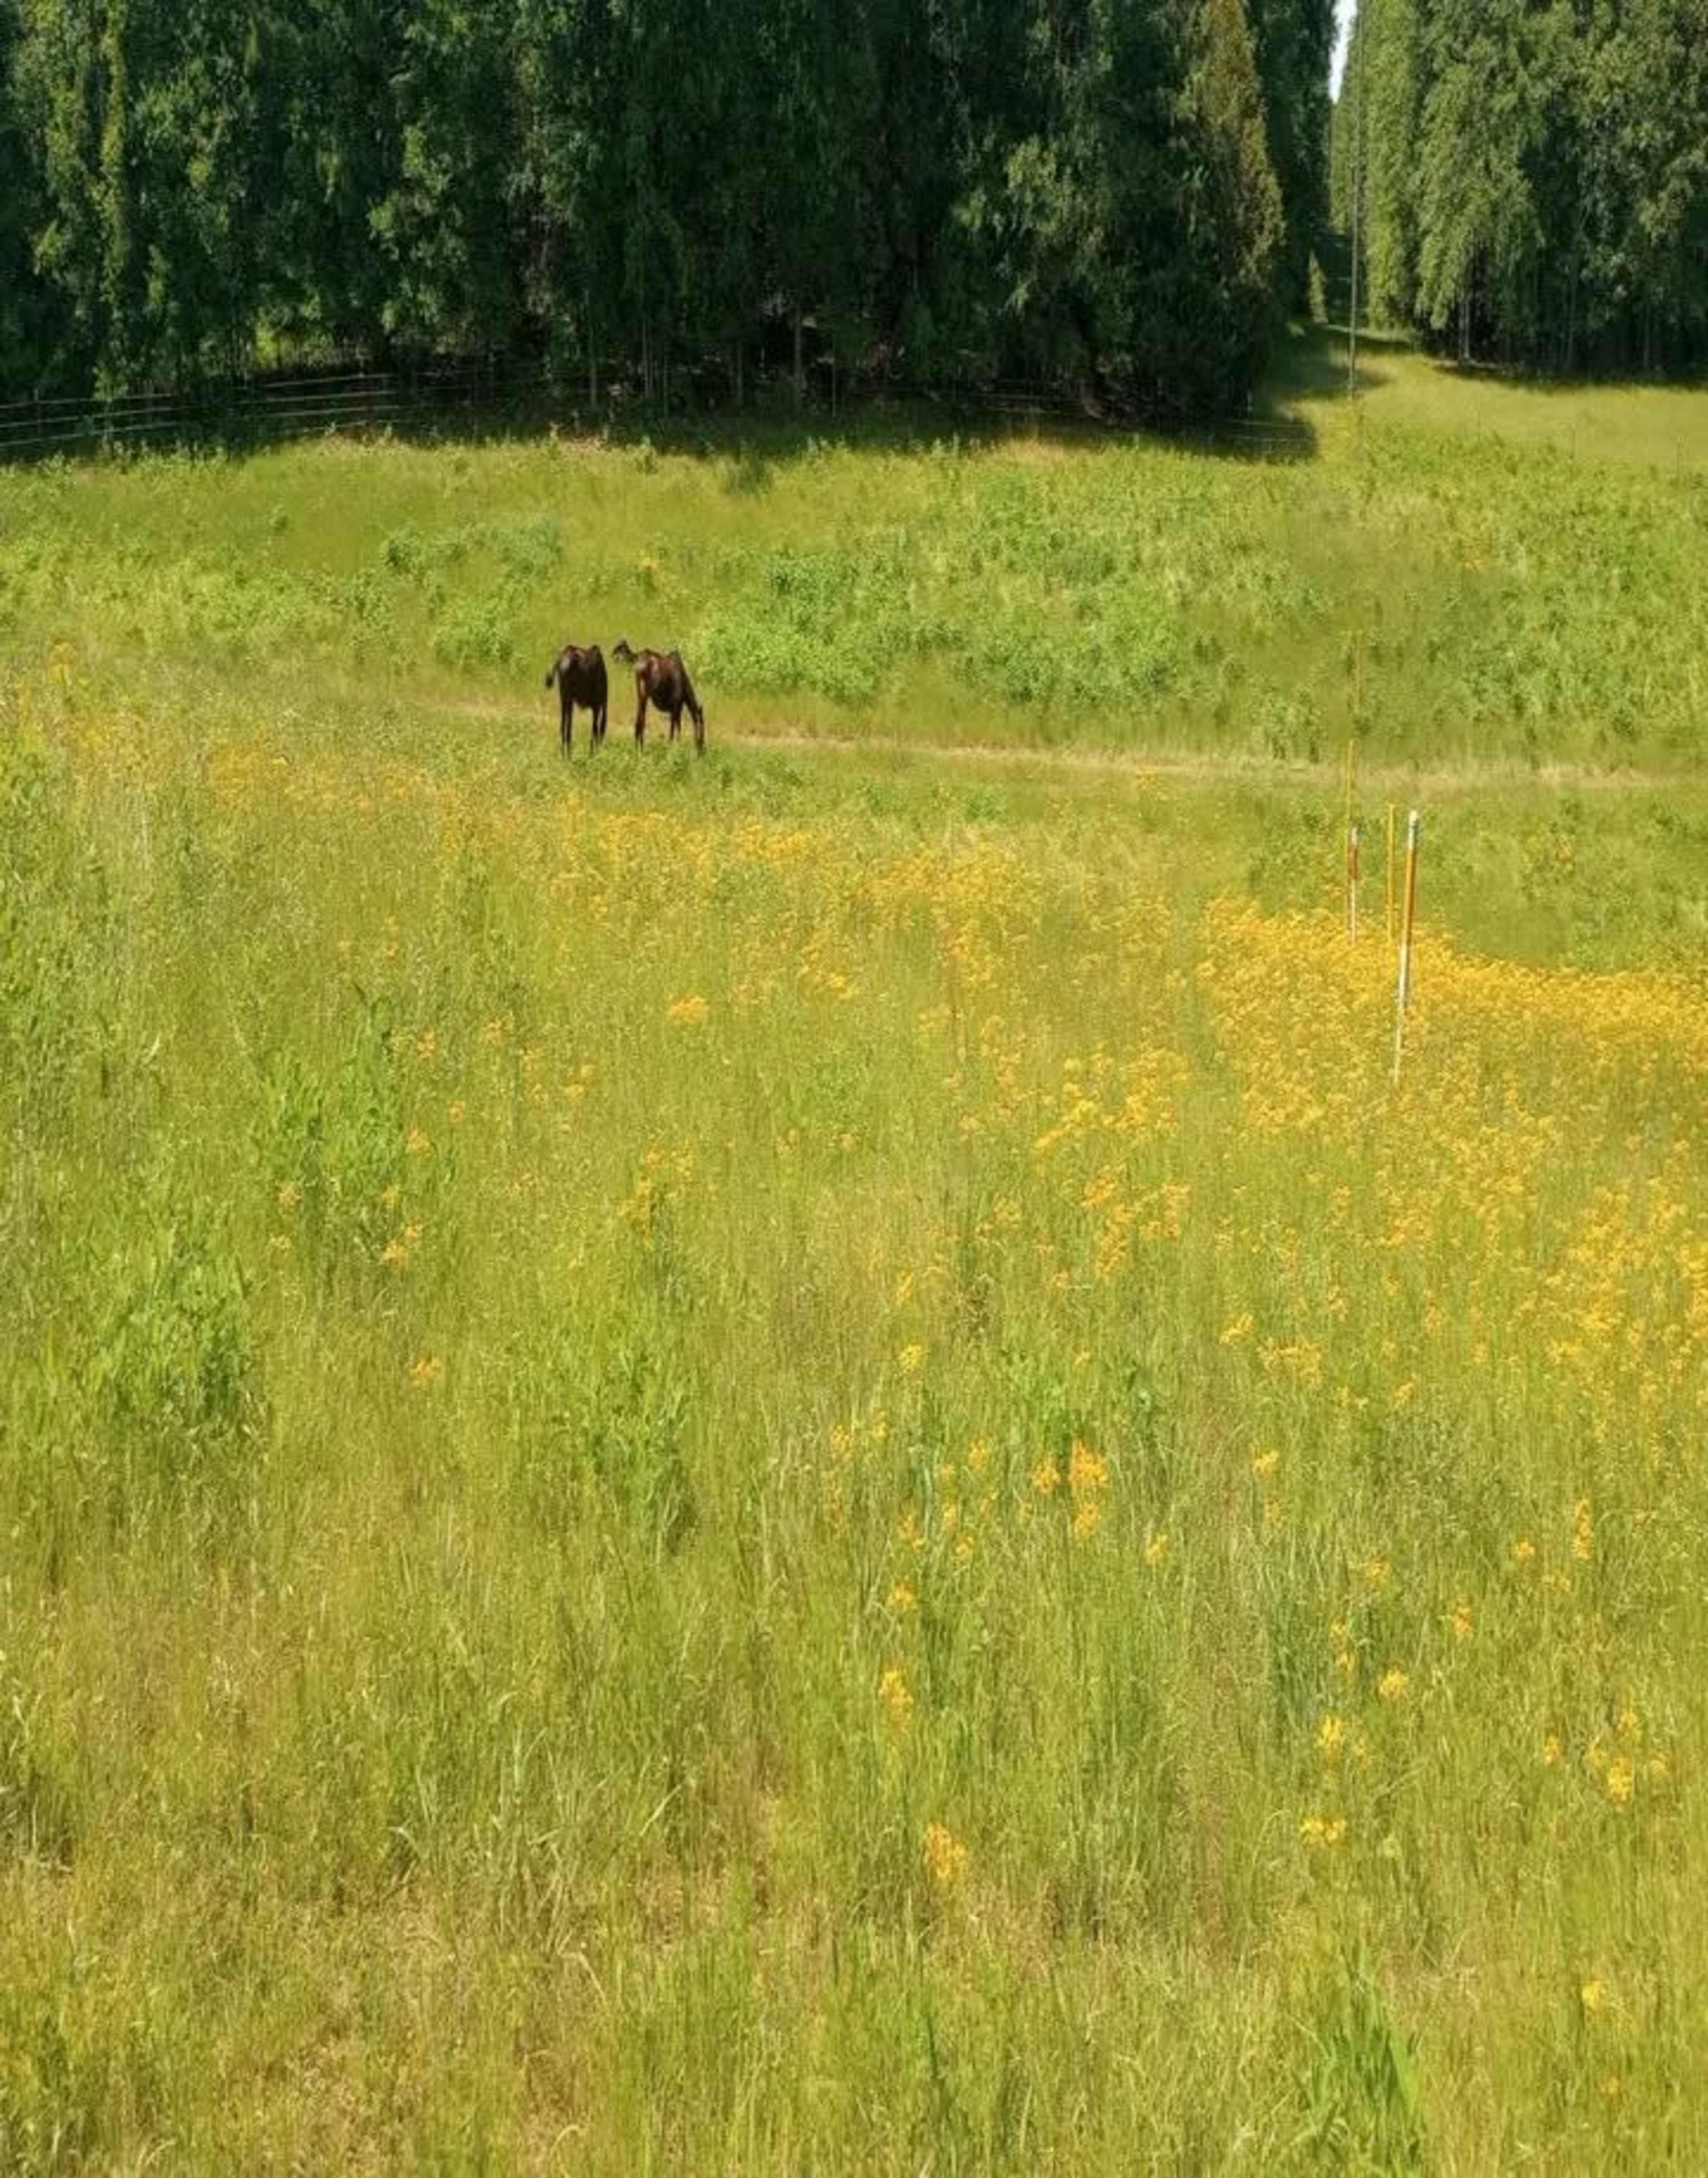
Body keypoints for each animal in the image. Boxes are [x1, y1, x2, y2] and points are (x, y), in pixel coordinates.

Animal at [543, 642, 608, 753]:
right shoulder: (597, 706)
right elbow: (595, 731)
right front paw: (592, 754)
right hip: (570, 699)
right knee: (570, 729)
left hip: (565, 698)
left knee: (564, 727)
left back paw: (565, 753)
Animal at [612, 639, 706, 753]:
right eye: (702, 727)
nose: (701, 749)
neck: (686, 692)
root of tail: (638, 662)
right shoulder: (677, 706)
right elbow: (676, 729)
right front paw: (675, 748)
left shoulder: (674, 709)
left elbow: (674, 728)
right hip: (646, 693)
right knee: (643, 719)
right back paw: (641, 748)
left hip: (640, 693)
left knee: (638, 720)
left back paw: (637, 746)